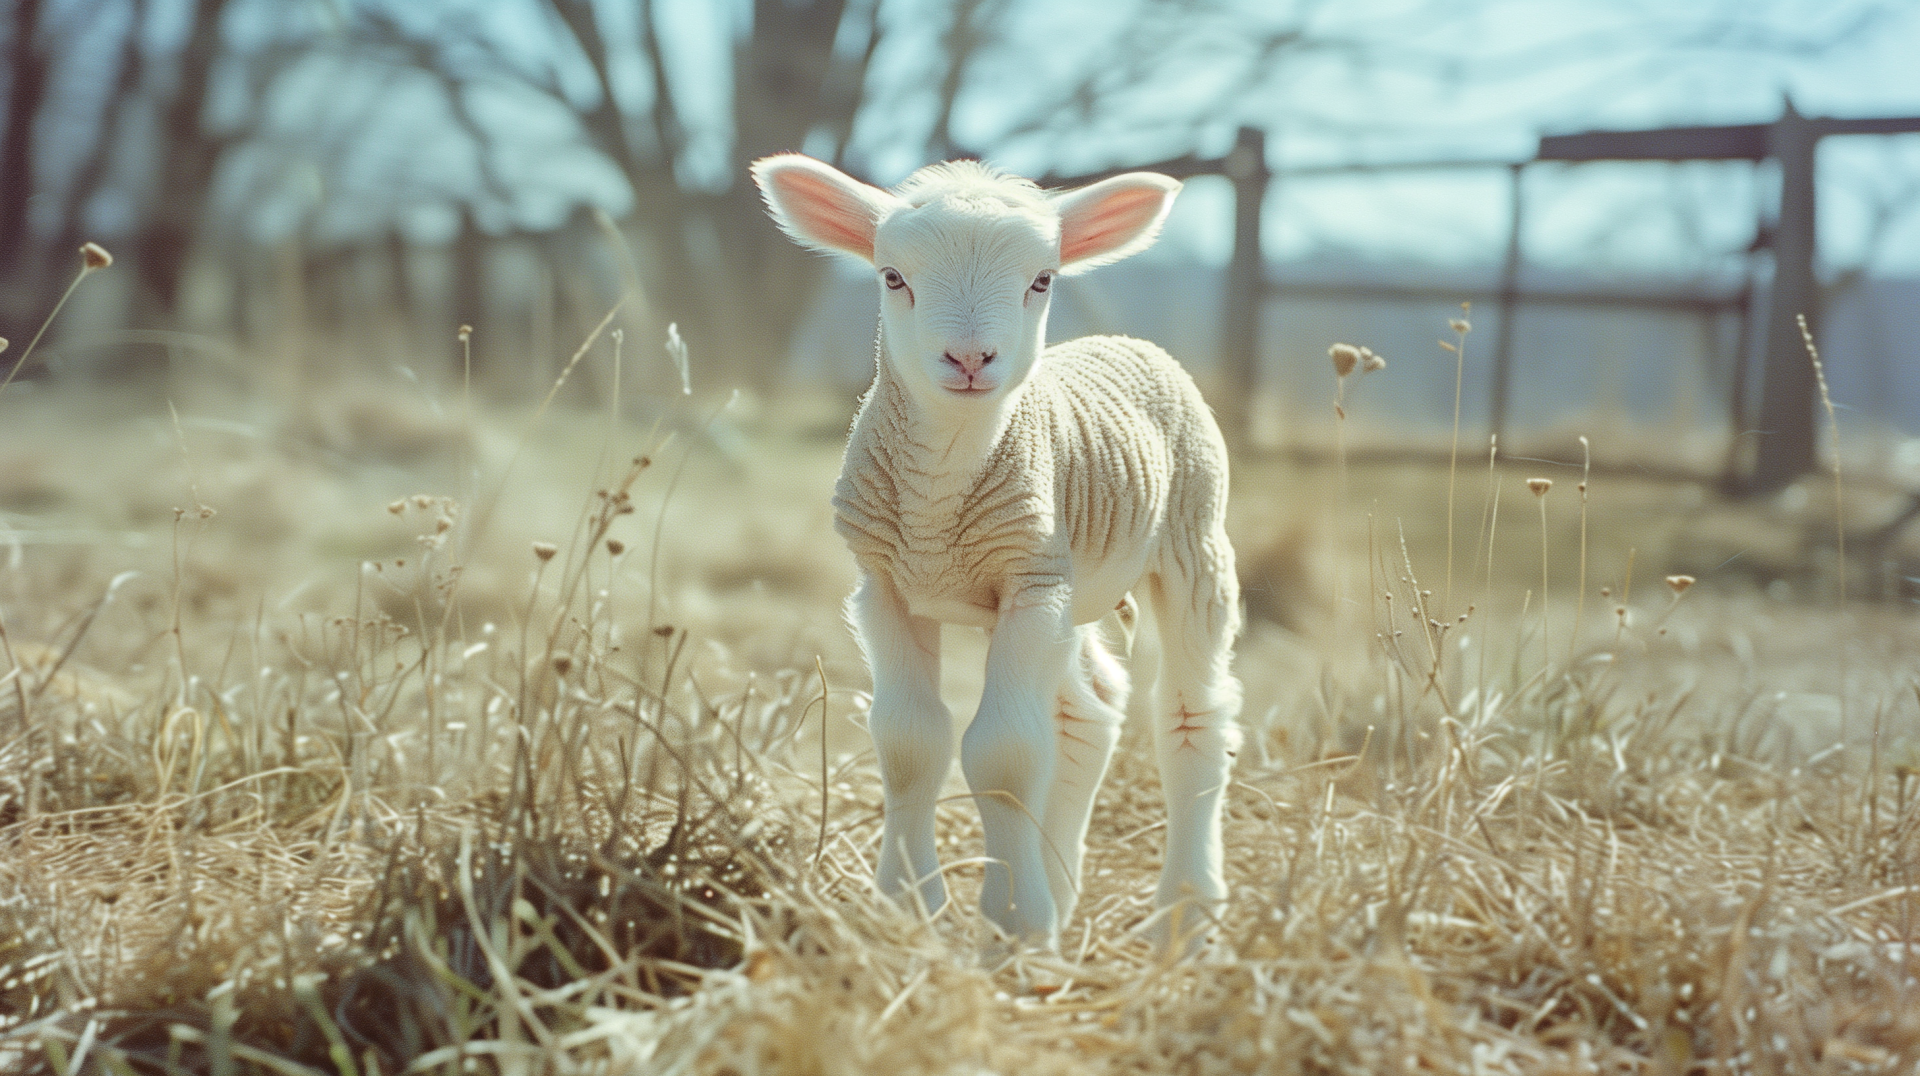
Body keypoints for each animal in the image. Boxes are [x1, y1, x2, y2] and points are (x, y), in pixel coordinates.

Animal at [751, 153, 1241, 951]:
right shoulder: (888, 587)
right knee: (1088, 713)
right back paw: (1063, 888)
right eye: (892, 276)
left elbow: (1004, 753)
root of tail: (1123, 342)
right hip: (1072, 586)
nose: (970, 358)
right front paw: (908, 904)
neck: (938, 506)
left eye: (1042, 280)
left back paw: (1184, 917)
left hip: (1192, 543)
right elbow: (911, 743)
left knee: (1191, 720)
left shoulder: (1029, 583)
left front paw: (1013, 921)